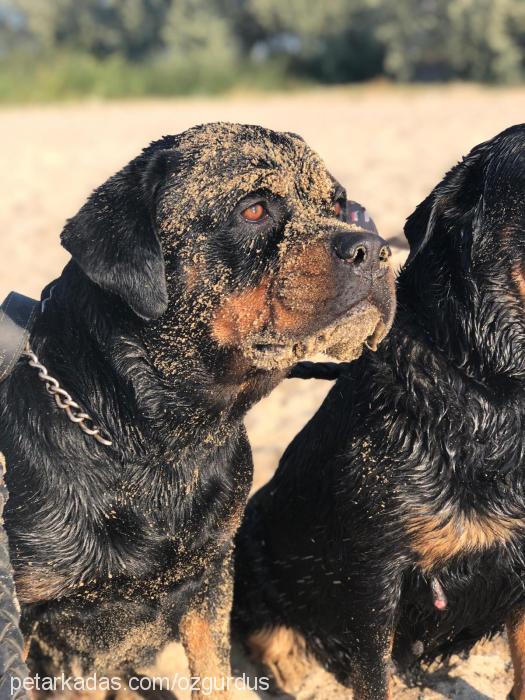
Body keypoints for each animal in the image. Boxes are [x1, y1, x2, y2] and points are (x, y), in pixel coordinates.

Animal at [0, 121, 392, 696]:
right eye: (254, 209)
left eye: (339, 205)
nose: (375, 248)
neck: (160, 447)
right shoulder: (38, 620)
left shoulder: (210, 577)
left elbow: (214, 674)